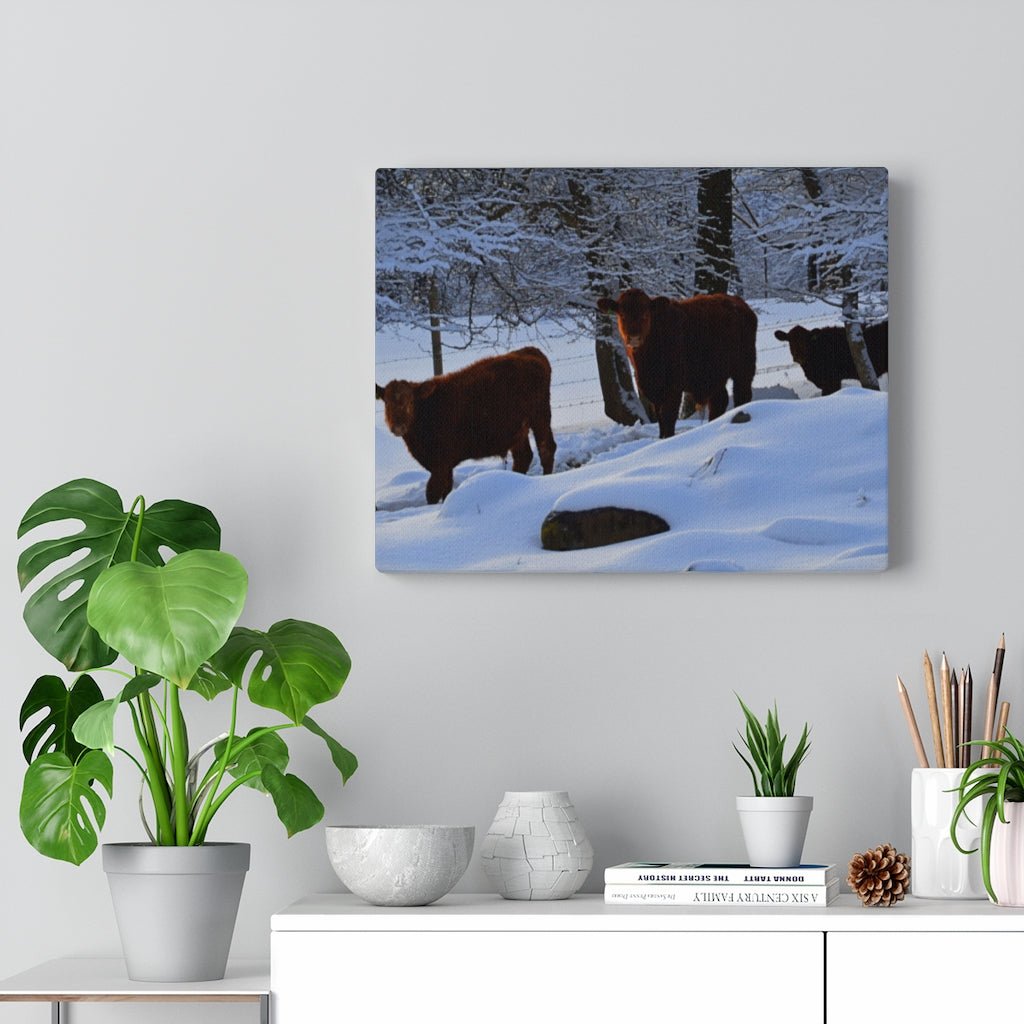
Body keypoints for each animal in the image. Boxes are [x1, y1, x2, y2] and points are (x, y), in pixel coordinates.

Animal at [375, 346, 557, 504]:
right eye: (386, 403)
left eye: (411, 401)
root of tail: (530, 351)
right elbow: (446, 491)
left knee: (546, 449)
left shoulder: (440, 464)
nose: (398, 426)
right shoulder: (444, 466)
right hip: (518, 431)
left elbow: (432, 493)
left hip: (540, 417)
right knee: (523, 456)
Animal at [596, 289, 758, 437]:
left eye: (646, 314)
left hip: (744, 368)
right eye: (622, 315)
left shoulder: (673, 387)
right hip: (715, 375)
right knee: (719, 401)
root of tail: (738, 302)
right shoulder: (654, 390)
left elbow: (668, 417)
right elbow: (661, 420)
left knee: (742, 395)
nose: (634, 338)